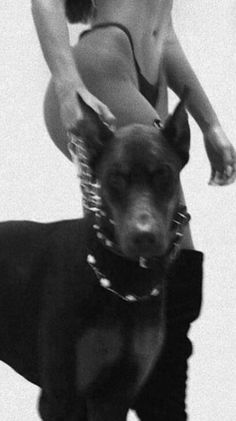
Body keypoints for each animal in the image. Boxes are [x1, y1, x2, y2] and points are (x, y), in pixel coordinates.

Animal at [0, 94, 190, 420]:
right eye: (115, 177)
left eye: (163, 174)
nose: (144, 236)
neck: (125, 279)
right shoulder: (61, 396)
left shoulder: (116, 392)